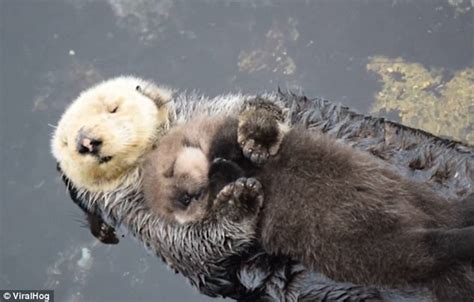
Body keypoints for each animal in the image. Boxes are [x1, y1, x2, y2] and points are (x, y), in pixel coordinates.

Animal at [143, 102, 474, 300]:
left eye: (173, 172)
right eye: (183, 199)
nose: (192, 194)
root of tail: (423, 219)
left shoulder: (222, 139)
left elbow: (236, 141)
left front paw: (253, 138)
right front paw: (236, 188)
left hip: (417, 198)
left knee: (449, 220)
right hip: (384, 249)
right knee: (435, 246)